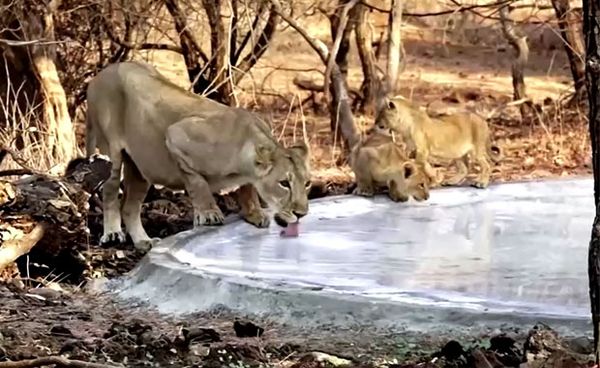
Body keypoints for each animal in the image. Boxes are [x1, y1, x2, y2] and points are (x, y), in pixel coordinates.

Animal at [86, 61, 312, 250]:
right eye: (284, 183)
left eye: (307, 183)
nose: (302, 214)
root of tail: (99, 75)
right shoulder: (175, 136)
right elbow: (198, 183)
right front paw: (209, 214)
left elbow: (248, 189)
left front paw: (254, 213)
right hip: (112, 152)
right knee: (109, 189)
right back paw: (112, 233)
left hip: (141, 168)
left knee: (130, 206)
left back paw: (143, 242)